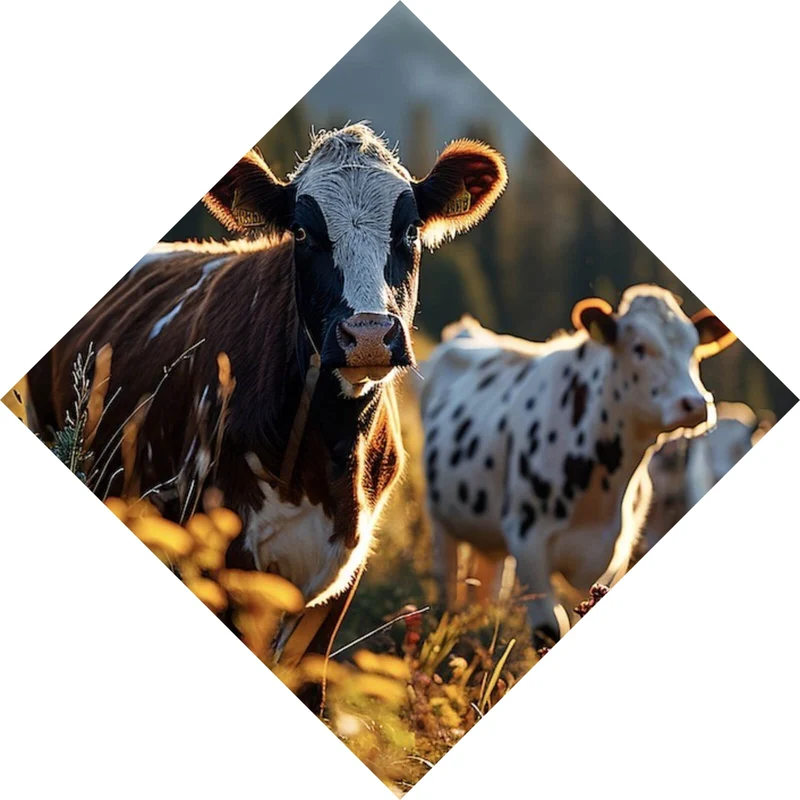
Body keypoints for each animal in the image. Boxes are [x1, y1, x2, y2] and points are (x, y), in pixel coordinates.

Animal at [26, 123, 508, 656]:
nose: (367, 334)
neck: (328, 449)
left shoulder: (344, 571)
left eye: (409, 230)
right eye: (302, 232)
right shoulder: (224, 553)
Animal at [419, 284, 736, 647]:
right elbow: (550, 627)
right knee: (447, 576)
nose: (695, 404)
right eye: (639, 347)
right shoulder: (527, 541)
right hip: (440, 516)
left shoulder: (616, 554)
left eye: (694, 350)